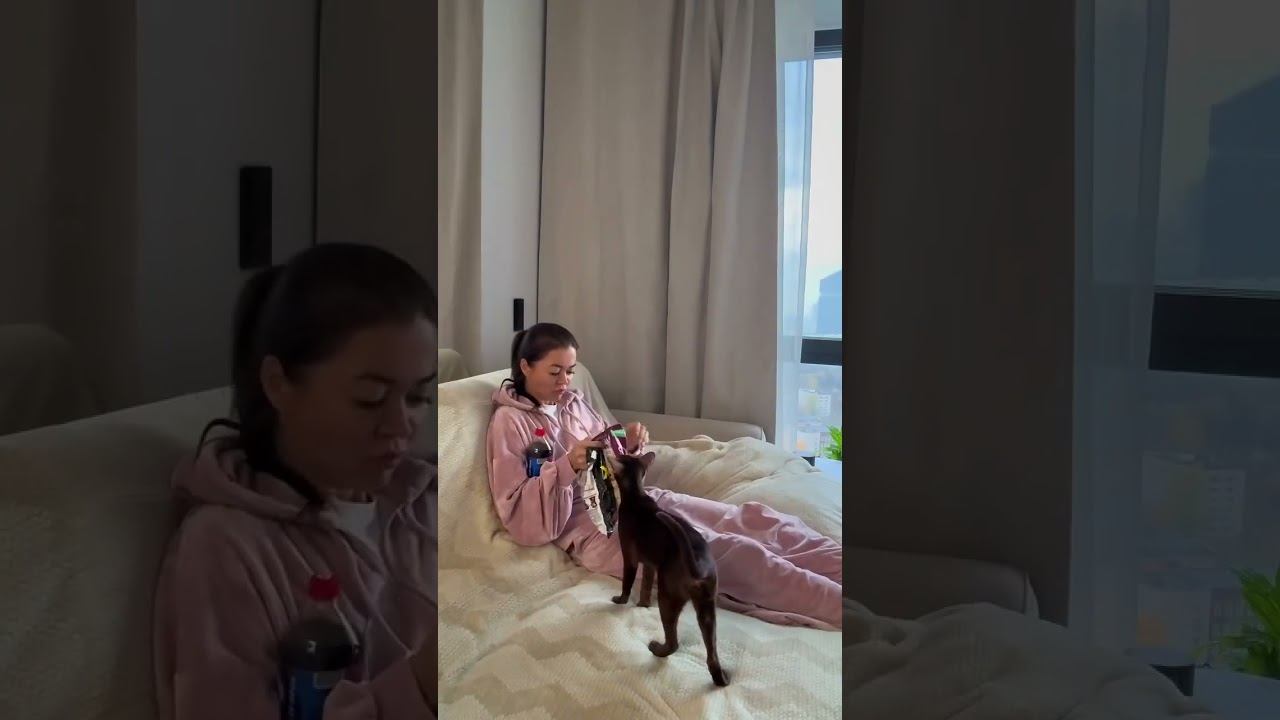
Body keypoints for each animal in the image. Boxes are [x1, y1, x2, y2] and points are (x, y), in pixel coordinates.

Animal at [609, 451, 729, 687]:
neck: (636, 496)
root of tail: (699, 565)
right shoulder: (649, 564)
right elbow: (645, 586)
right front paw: (643, 604)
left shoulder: (631, 558)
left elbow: (627, 583)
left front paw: (621, 600)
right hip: (707, 607)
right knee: (712, 653)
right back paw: (721, 680)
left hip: (668, 595)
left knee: (674, 642)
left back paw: (657, 649)